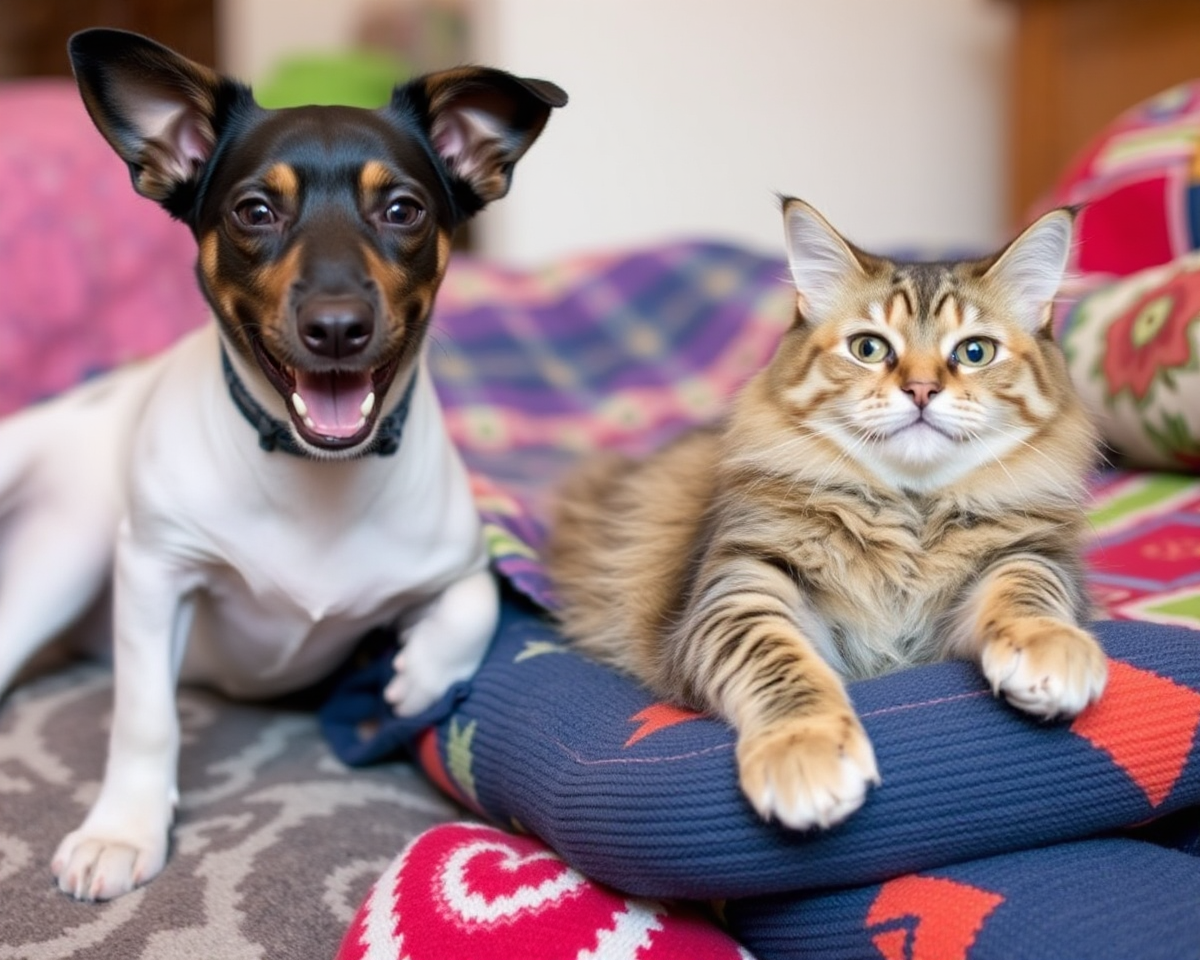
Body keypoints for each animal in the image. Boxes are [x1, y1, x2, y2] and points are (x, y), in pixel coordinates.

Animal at [0, 28, 566, 902]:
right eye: (255, 211)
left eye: (402, 210)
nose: (336, 327)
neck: (312, 472)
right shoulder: (155, 572)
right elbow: (145, 716)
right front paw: (122, 830)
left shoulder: (457, 562)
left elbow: (475, 606)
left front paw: (416, 679)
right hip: (62, 556)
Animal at [544, 200, 1104, 830]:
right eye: (869, 348)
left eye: (974, 353)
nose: (921, 389)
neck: (909, 513)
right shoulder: (739, 587)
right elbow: (778, 662)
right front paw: (803, 750)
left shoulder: (1027, 557)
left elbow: (1027, 590)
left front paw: (1052, 651)